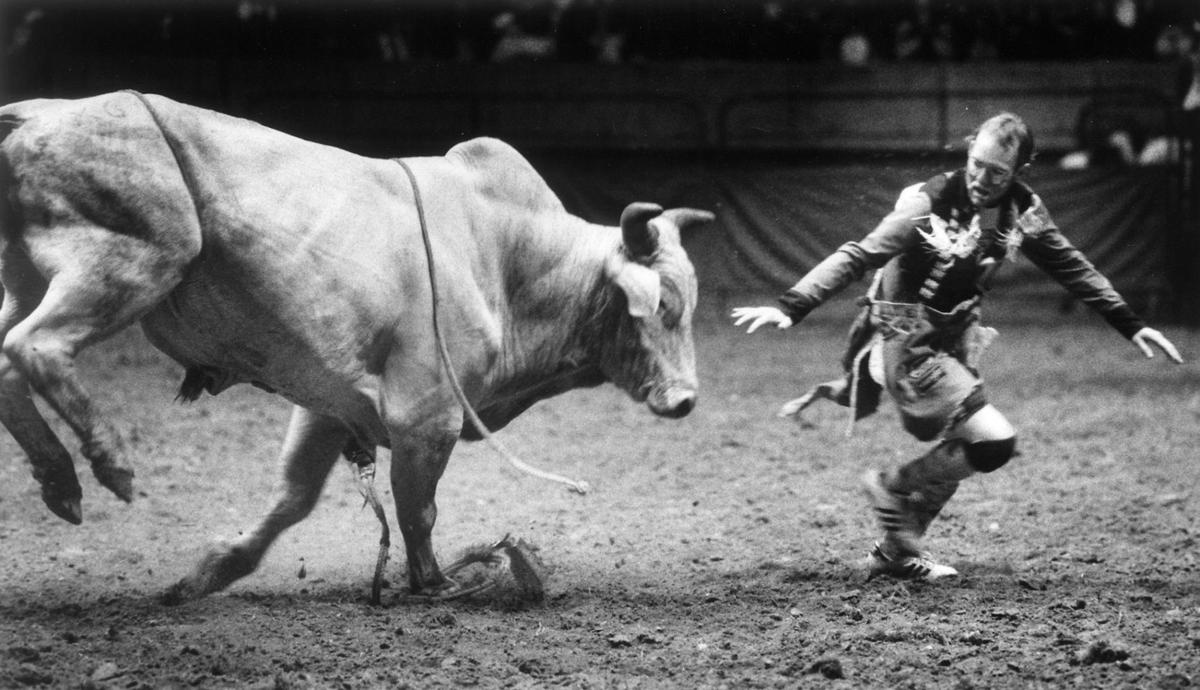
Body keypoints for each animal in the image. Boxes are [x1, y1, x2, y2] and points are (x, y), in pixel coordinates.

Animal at [0, 90, 710, 600]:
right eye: (663, 306)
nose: (685, 400)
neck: (506, 258)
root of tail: (36, 112)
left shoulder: (328, 407)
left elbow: (293, 499)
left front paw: (208, 573)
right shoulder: (427, 417)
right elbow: (419, 510)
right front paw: (436, 583)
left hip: (28, 276)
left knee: (10, 359)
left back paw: (60, 481)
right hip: (134, 258)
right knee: (36, 347)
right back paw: (107, 462)